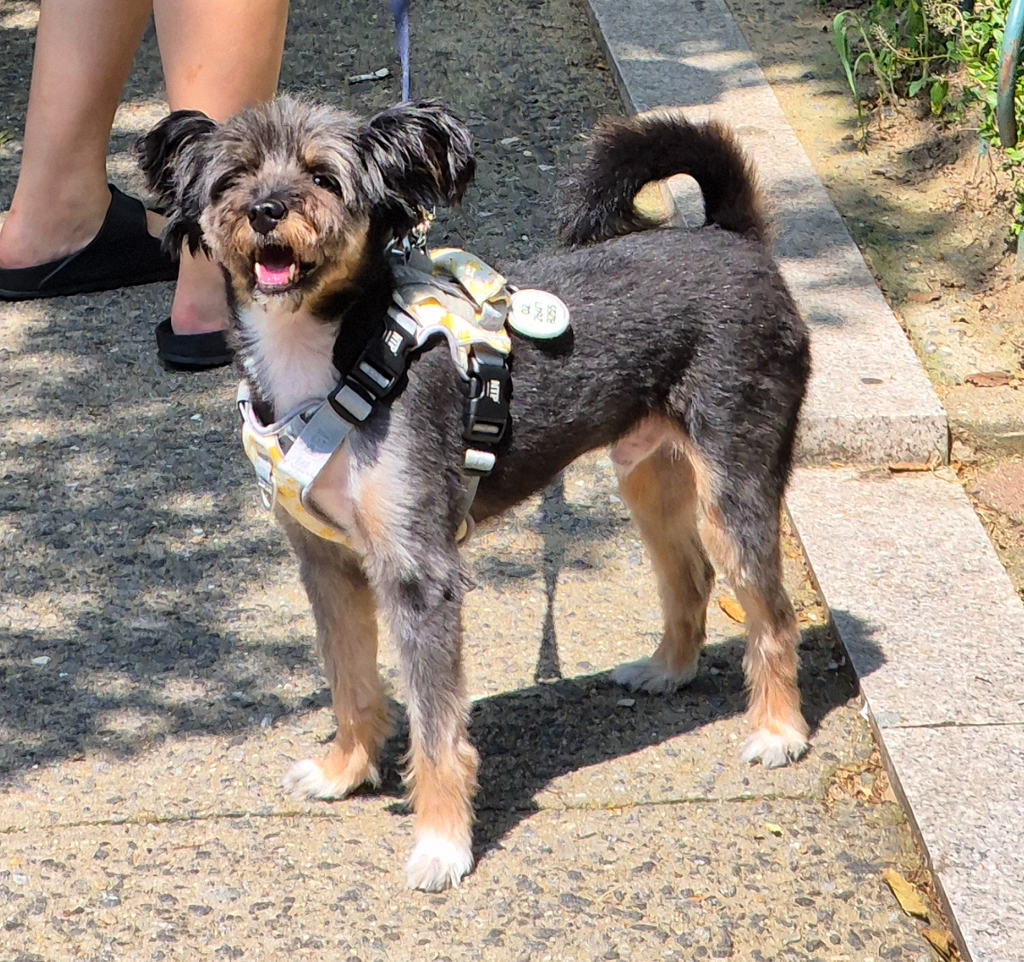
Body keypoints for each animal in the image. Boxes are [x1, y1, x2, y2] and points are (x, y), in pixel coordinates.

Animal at [138, 97, 811, 892]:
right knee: (691, 575)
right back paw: (667, 670)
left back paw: (778, 729)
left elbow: (436, 730)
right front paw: (346, 770)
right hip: (648, 473)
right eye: (233, 178)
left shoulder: (418, 574)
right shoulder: (328, 564)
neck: (333, 355)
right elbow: (350, 681)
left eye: (324, 177)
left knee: (774, 613)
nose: (267, 209)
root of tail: (734, 237)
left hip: (735, 479)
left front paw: (441, 842)